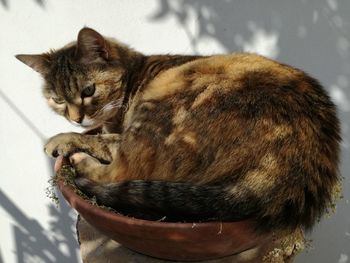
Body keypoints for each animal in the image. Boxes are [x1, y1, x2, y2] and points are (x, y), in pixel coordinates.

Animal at [15, 26, 340, 233]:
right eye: (57, 100)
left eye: (89, 90)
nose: (76, 119)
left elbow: (103, 140)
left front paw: (61, 140)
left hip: (159, 112)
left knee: (120, 170)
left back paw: (79, 161)